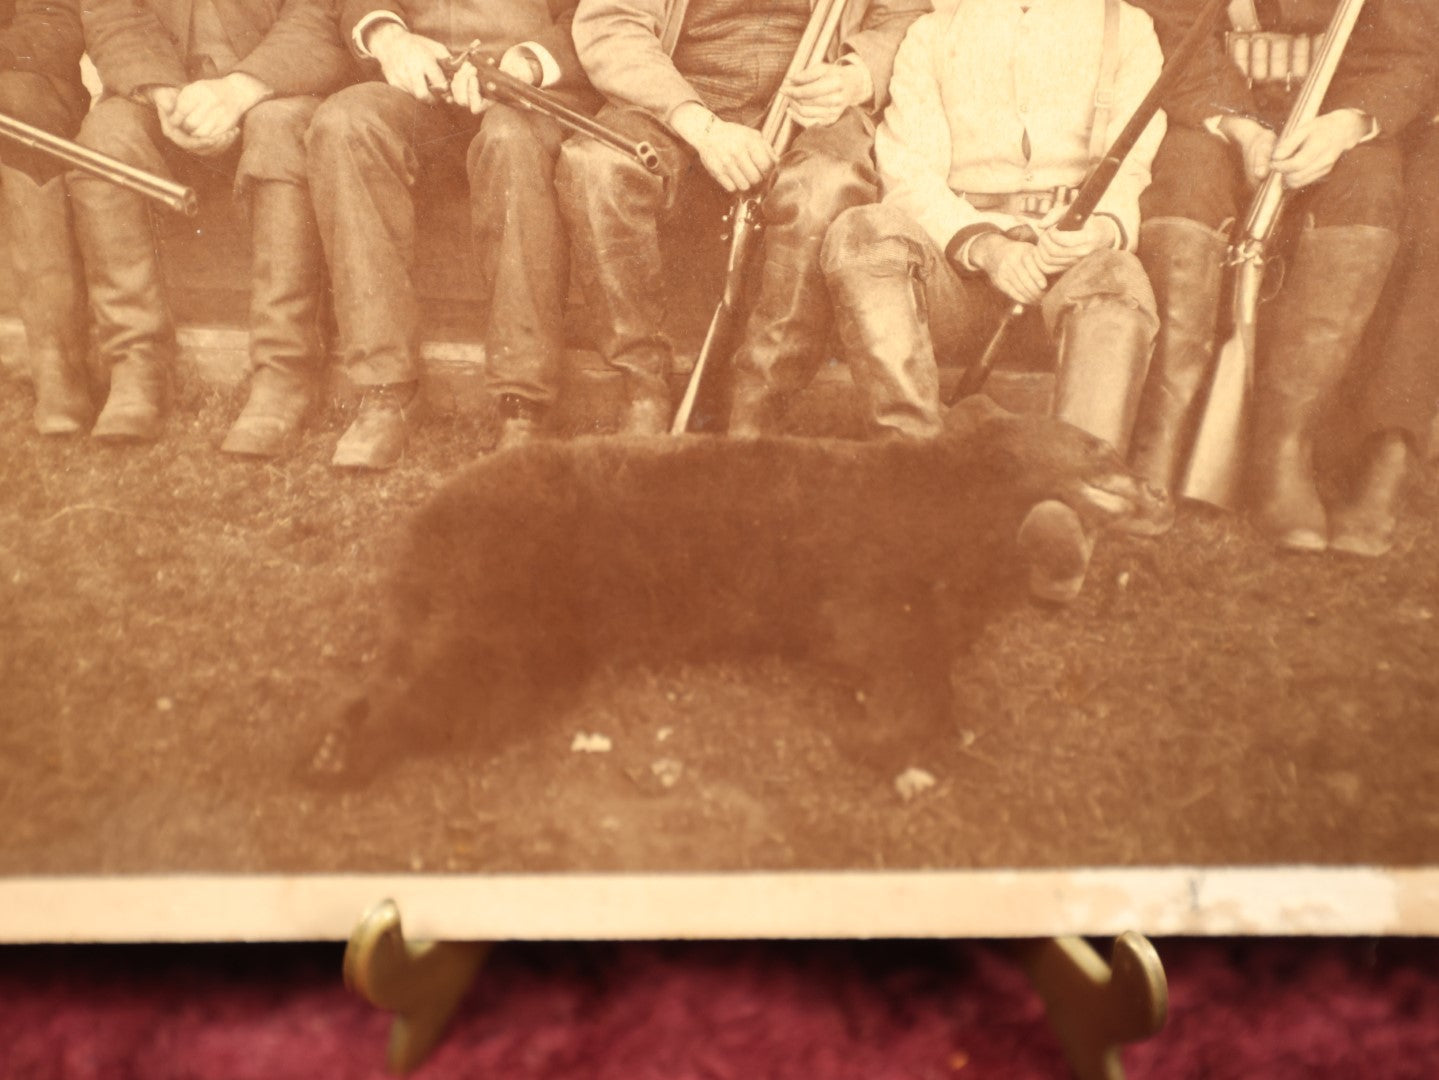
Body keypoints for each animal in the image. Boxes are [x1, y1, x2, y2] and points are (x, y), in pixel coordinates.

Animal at [312, 396, 1168, 788]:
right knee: (451, 680)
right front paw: (883, 739)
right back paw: (341, 753)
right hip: (513, 577)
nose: (1154, 486)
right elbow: (887, 641)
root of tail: (426, 519)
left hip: (539, 631)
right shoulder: (870, 556)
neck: (965, 506)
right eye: (1099, 448)